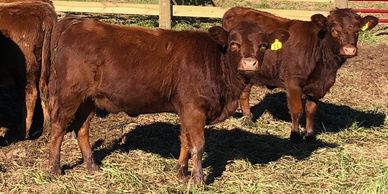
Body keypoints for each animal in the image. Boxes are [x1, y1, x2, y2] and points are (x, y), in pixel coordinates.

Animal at [0, 0, 56, 138]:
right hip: (45, 65)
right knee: (43, 89)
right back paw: (46, 128)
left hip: (24, 70)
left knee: (31, 93)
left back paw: (22, 131)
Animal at [47, 17, 288, 183]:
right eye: (234, 43)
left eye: (263, 45)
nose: (249, 63)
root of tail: (76, 22)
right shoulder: (194, 109)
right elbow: (198, 145)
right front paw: (198, 180)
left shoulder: (186, 109)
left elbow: (185, 141)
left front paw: (181, 173)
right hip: (69, 95)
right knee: (58, 128)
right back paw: (54, 169)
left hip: (88, 100)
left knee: (82, 129)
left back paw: (92, 166)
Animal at [223, 6, 378, 142]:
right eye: (334, 30)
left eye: (357, 31)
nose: (349, 50)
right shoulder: (293, 83)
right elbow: (297, 110)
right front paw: (295, 135)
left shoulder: (317, 87)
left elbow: (311, 111)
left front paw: (309, 135)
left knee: (244, 93)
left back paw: (248, 120)